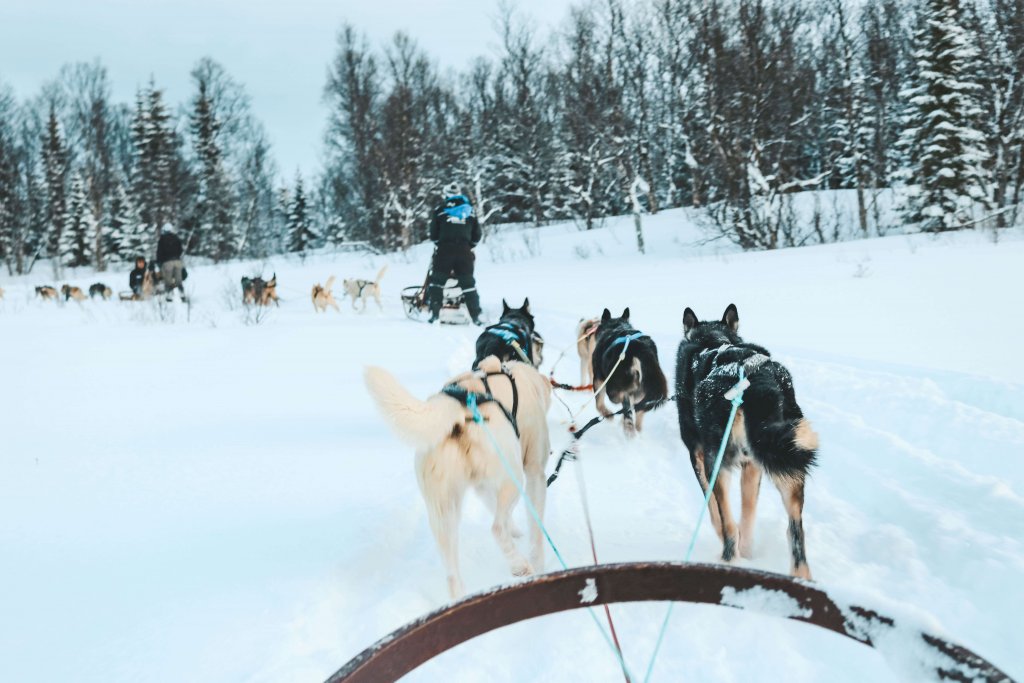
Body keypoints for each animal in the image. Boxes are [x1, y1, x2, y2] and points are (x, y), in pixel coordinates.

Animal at [362, 358, 548, 598]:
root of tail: (456, 410)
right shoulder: (535, 472)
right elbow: (535, 530)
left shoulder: (481, 486)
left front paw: (515, 531)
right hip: (512, 478)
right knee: (497, 528)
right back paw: (520, 565)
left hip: (443, 511)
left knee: (453, 576)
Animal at [675, 305, 819, 577]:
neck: (713, 340)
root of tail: (751, 382)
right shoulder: (752, 465)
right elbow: (748, 512)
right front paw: (749, 549)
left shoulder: (697, 456)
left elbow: (715, 512)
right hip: (787, 458)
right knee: (795, 532)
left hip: (717, 459)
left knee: (729, 526)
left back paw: (728, 559)